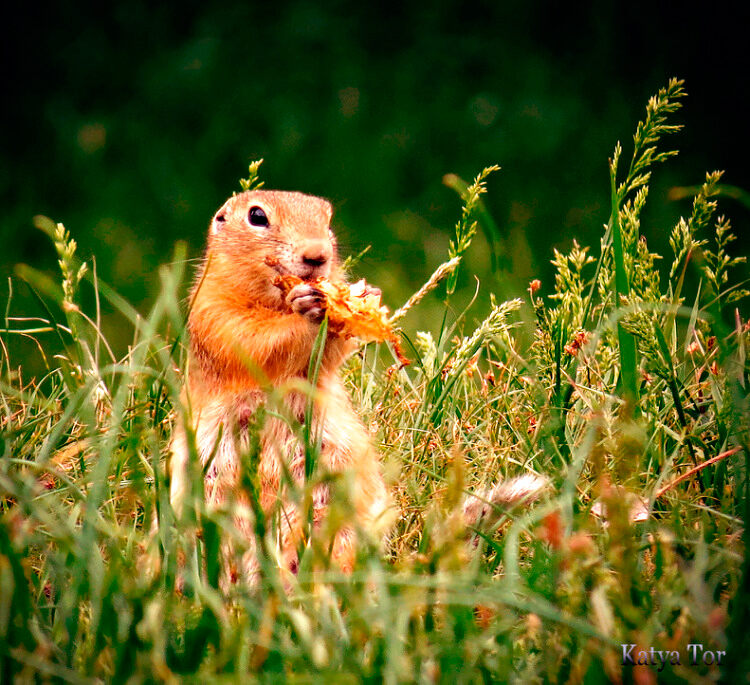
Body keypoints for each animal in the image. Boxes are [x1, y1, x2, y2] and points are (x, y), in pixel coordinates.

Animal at [171, 188, 394, 584]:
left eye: (328, 219)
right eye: (257, 216)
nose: (317, 255)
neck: (272, 297)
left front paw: (361, 298)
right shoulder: (214, 308)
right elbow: (254, 339)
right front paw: (306, 306)